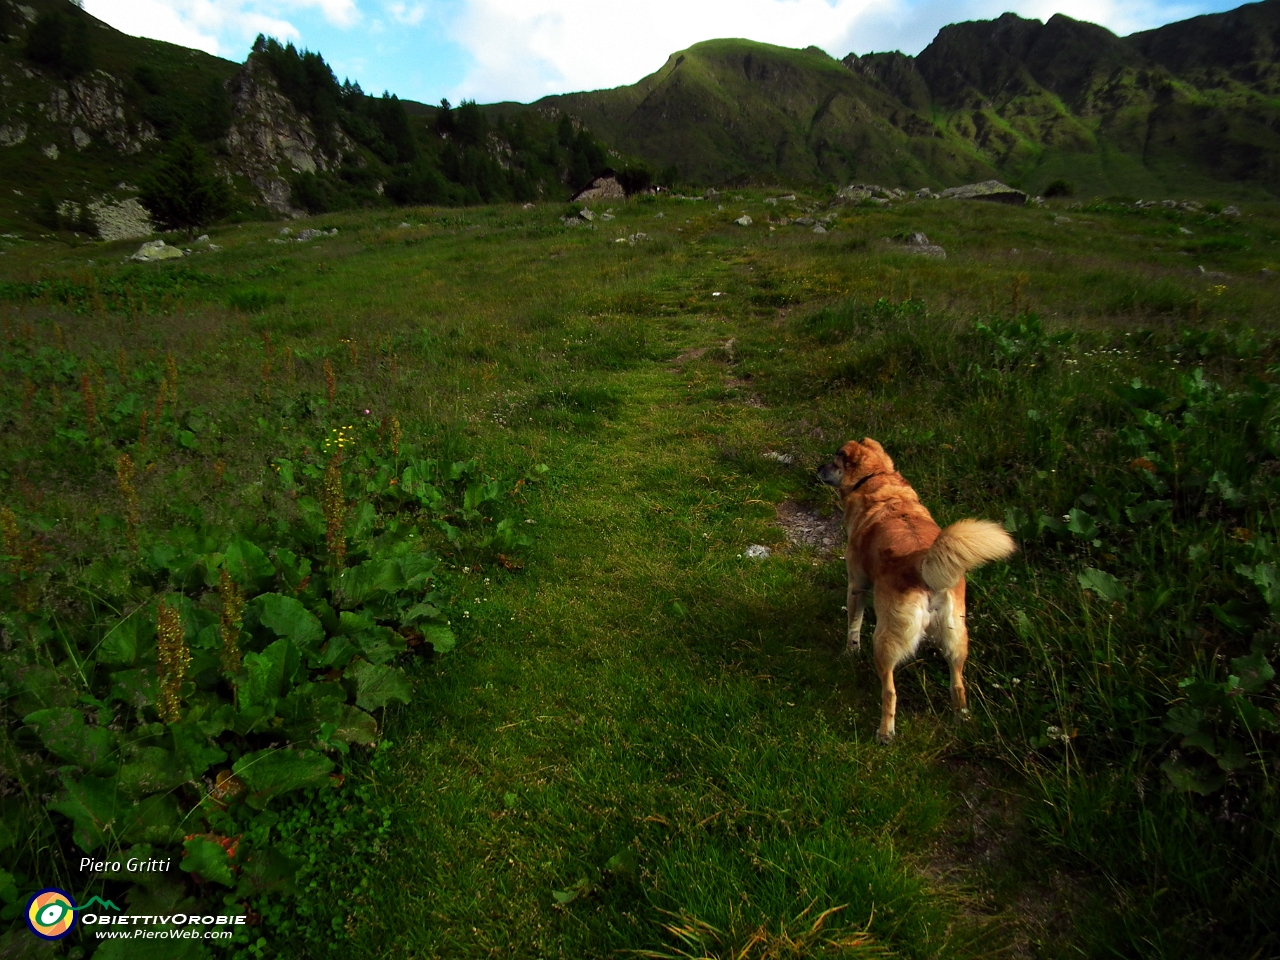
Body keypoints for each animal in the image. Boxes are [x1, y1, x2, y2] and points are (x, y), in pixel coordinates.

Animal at [819, 437, 1018, 742]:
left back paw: (885, 733)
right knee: (958, 685)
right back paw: (961, 720)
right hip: (957, 637)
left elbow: (853, 626)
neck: (877, 479)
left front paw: (849, 654)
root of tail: (920, 564)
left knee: (890, 691)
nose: (818, 469)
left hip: (885, 640)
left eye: (834, 461)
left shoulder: (857, 585)